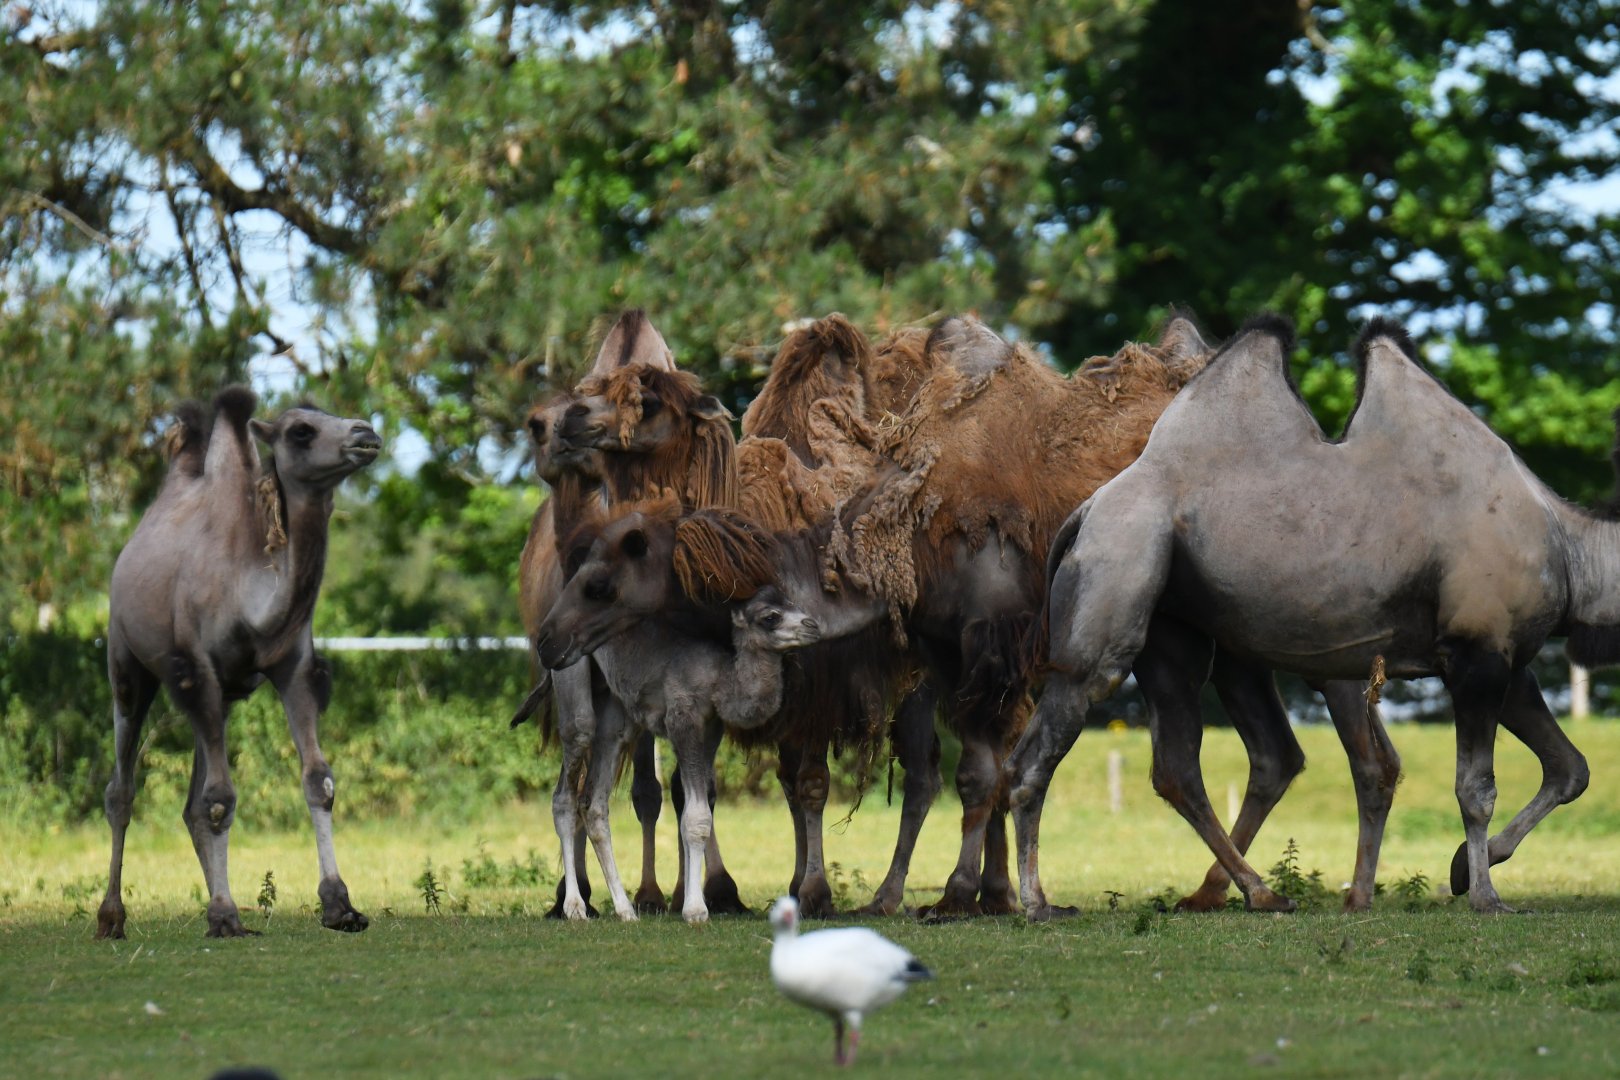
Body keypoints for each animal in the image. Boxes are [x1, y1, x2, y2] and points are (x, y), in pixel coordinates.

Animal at [99, 387, 381, 938]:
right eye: (301, 430)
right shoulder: (197, 668)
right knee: (122, 790)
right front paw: (225, 914)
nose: (366, 434)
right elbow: (221, 799)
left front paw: (340, 905)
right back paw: (111, 917)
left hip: (223, 696)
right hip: (127, 663)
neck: (249, 593)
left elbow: (318, 781)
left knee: (192, 805)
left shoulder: (293, 668)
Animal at [1007, 315, 1592, 916]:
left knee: (1195, 763)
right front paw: (1483, 894)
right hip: (1116, 580)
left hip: (1178, 629)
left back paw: (1260, 891)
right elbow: (1474, 786)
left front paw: (1454, 873)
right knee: (1046, 739)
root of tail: (1086, 512)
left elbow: (1569, 767)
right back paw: (1039, 903)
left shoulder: (1501, 655)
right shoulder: (1479, 649)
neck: (1568, 547)